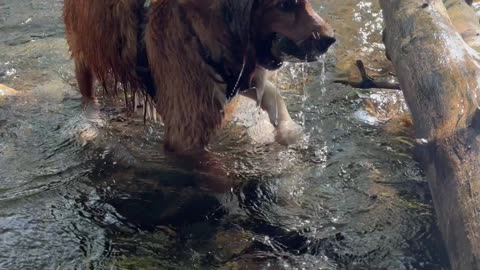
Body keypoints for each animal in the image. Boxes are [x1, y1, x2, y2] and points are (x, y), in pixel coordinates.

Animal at [62, 0, 334, 153]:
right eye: (285, 5)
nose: (330, 39)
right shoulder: (188, 126)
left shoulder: (232, 76)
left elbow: (270, 93)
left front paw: (288, 131)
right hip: (82, 45)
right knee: (87, 93)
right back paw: (89, 126)